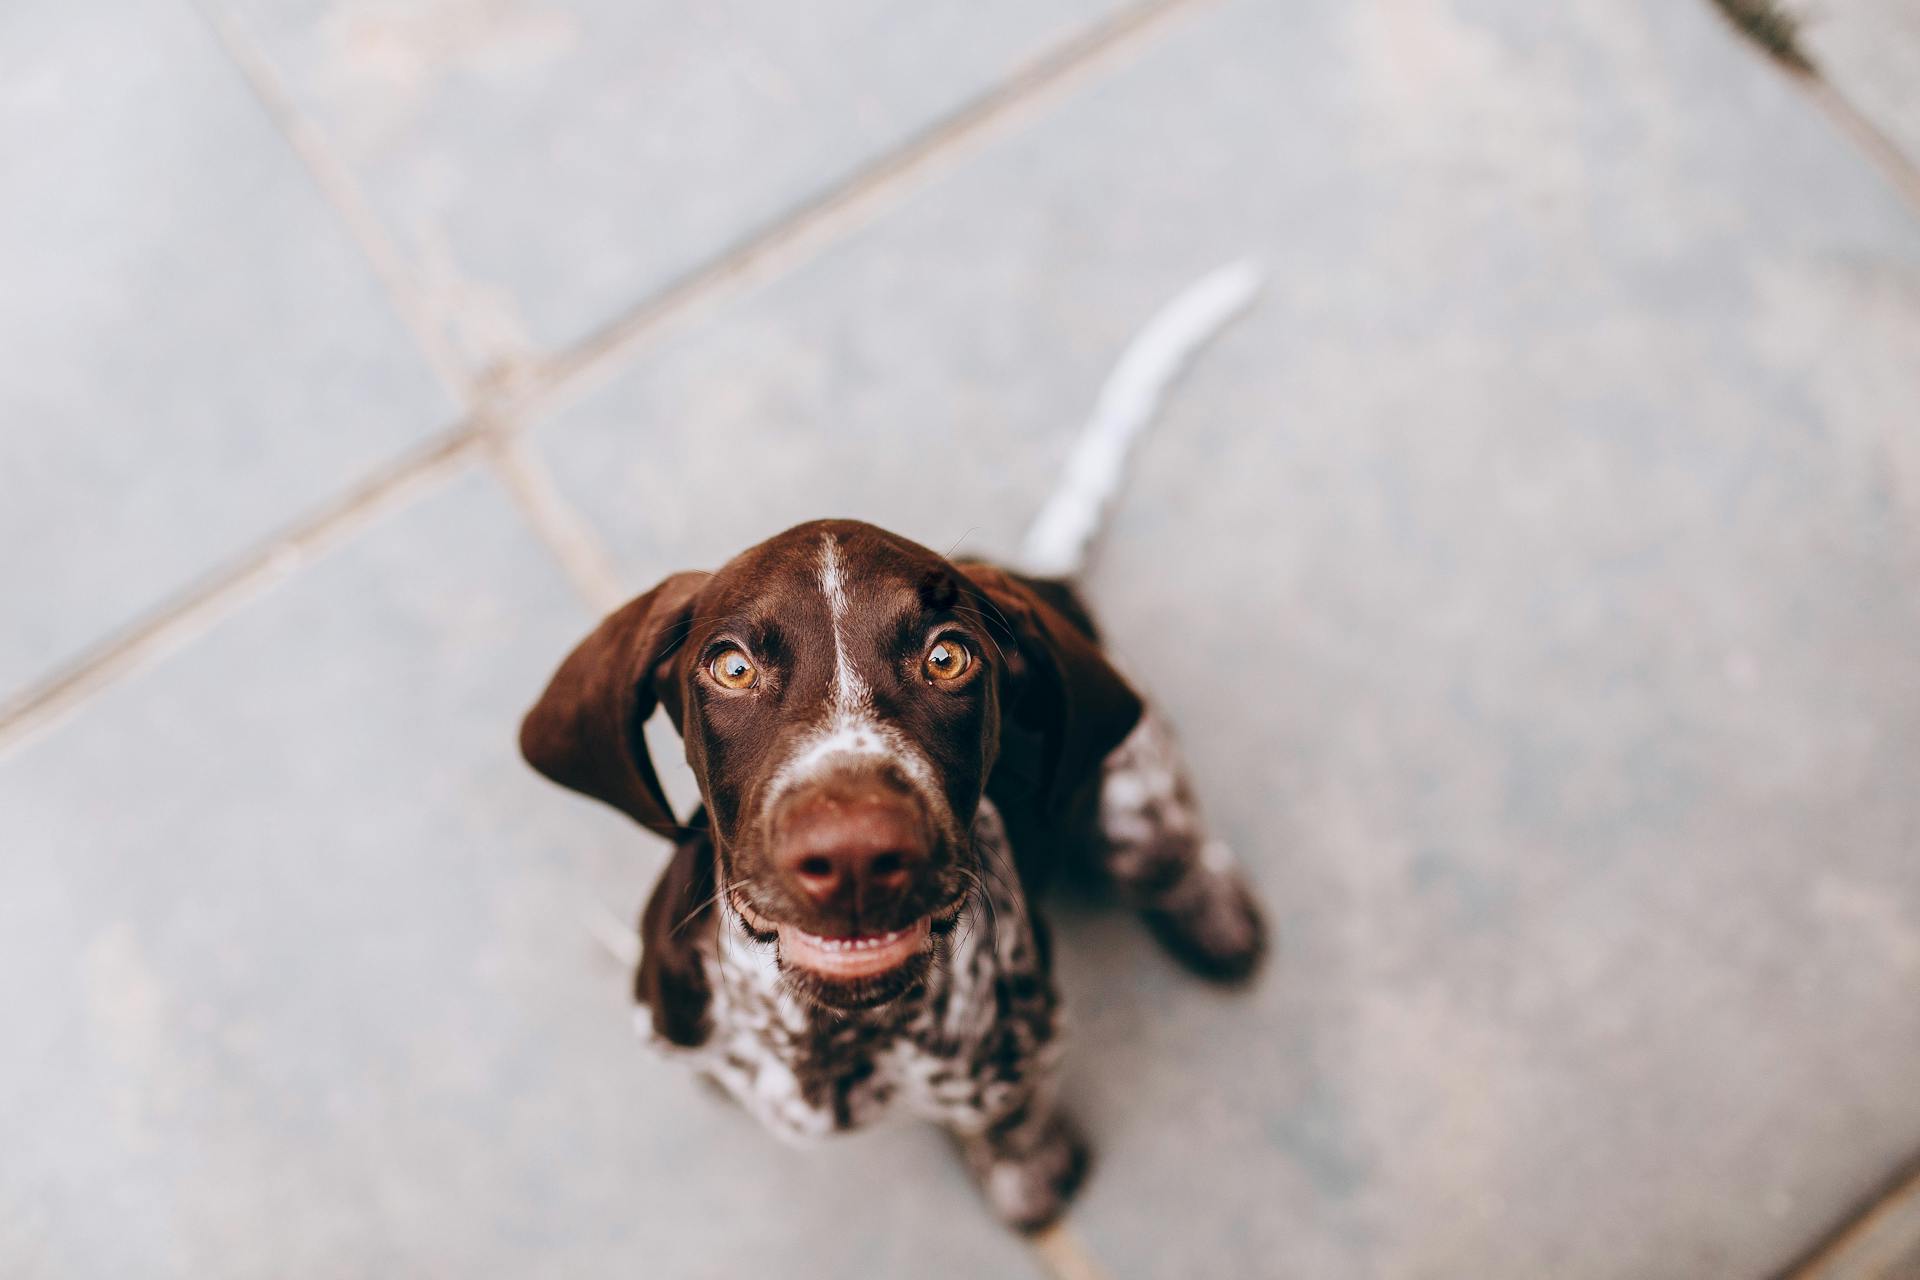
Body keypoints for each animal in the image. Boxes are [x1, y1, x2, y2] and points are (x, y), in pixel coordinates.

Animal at [514, 260, 1274, 1228]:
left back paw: (1213, 911)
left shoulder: (1019, 1062)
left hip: (1135, 796)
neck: (832, 1039)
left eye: (948, 657)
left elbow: (1012, 1124)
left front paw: (1028, 1177)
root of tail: (1041, 576)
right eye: (729, 667)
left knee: (1173, 848)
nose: (854, 857)